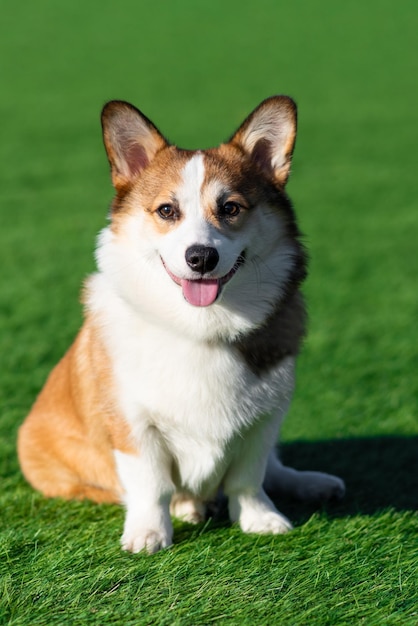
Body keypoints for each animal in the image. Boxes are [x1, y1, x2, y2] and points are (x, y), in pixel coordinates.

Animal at [18, 96, 344, 552]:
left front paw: (260, 520)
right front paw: (149, 534)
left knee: (276, 469)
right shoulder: (134, 425)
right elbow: (151, 485)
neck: (200, 327)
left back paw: (312, 484)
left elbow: (249, 478)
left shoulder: (264, 421)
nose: (201, 257)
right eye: (166, 211)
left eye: (230, 208)